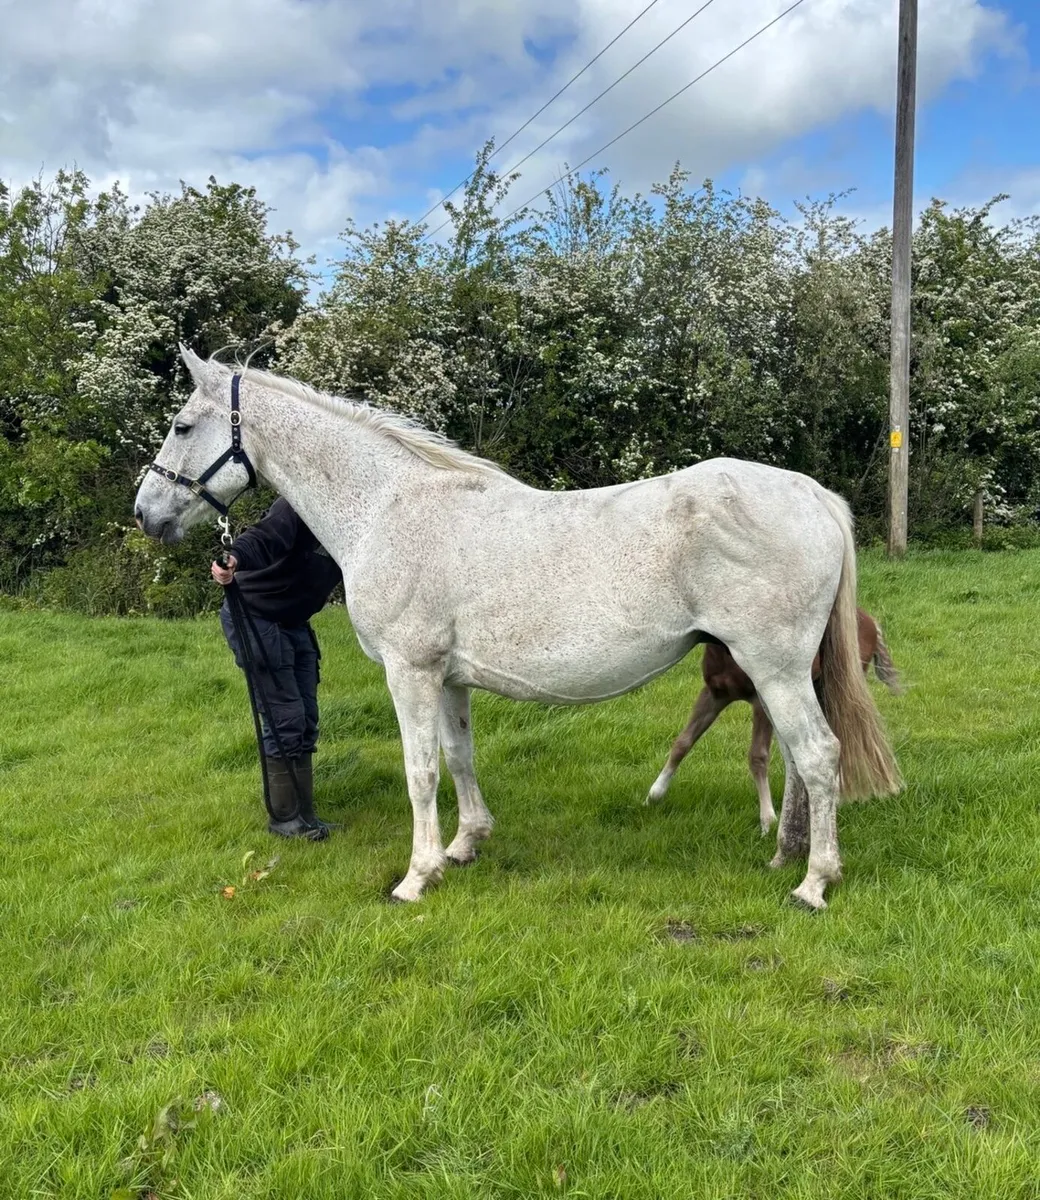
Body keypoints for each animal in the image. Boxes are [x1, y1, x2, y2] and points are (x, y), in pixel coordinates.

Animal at [647, 609, 902, 834]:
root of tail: (870, 621)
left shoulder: (760, 701)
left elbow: (757, 755)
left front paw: (768, 819)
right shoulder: (715, 694)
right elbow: (683, 742)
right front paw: (655, 794)